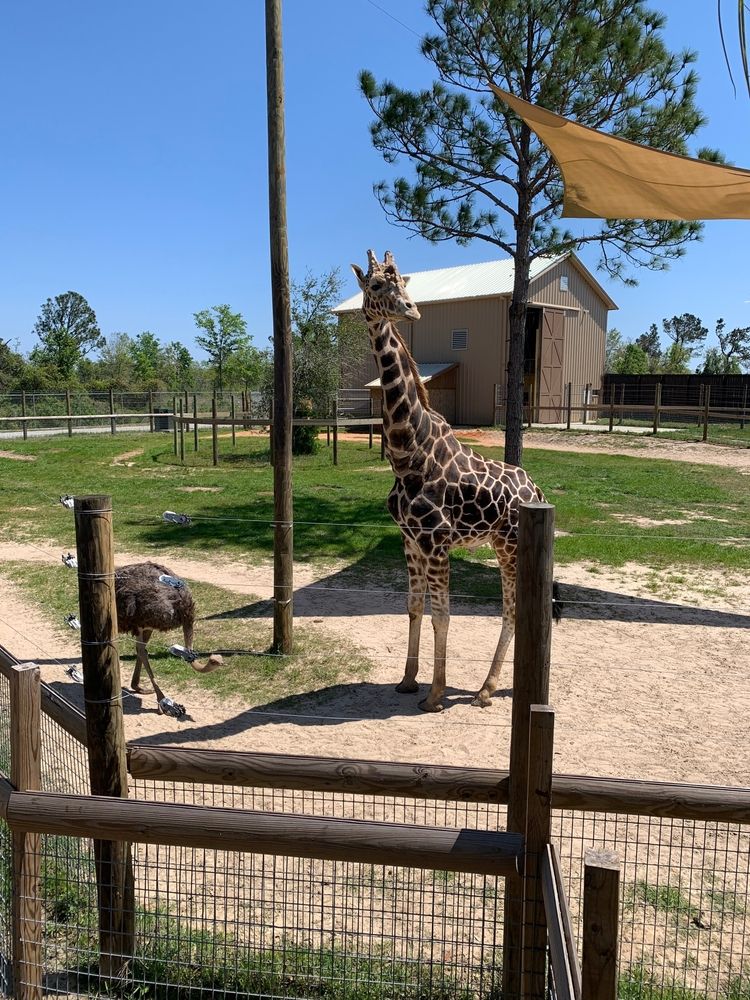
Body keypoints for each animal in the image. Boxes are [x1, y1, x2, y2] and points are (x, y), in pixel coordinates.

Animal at [351, 249, 554, 712]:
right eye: (376, 284)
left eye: (403, 282)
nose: (412, 309)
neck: (408, 455)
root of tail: (536, 489)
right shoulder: (409, 541)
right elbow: (414, 607)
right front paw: (408, 681)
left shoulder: (436, 542)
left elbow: (443, 615)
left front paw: (435, 694)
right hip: (503, 545)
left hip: (508, 545)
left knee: (512, 608)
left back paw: (486, 689)